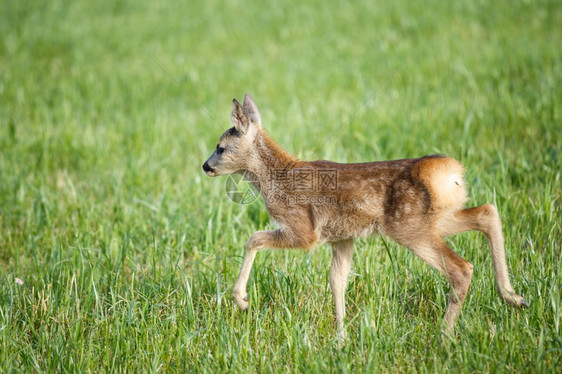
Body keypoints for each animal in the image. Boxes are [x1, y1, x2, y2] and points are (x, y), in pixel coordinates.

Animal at [201, 93, 524, 338]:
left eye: (221, 147)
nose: (205, 166)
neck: (276, 178)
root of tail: (451, 174)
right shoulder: (342, 238)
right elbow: (337, 281)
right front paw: (341, 338)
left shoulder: (304, 230)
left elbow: (253, 238)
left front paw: (241, 299)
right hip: (434, 218)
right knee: (487, 212)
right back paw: (513, 297)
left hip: (408, 226)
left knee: (462, 268)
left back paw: (444, 337)